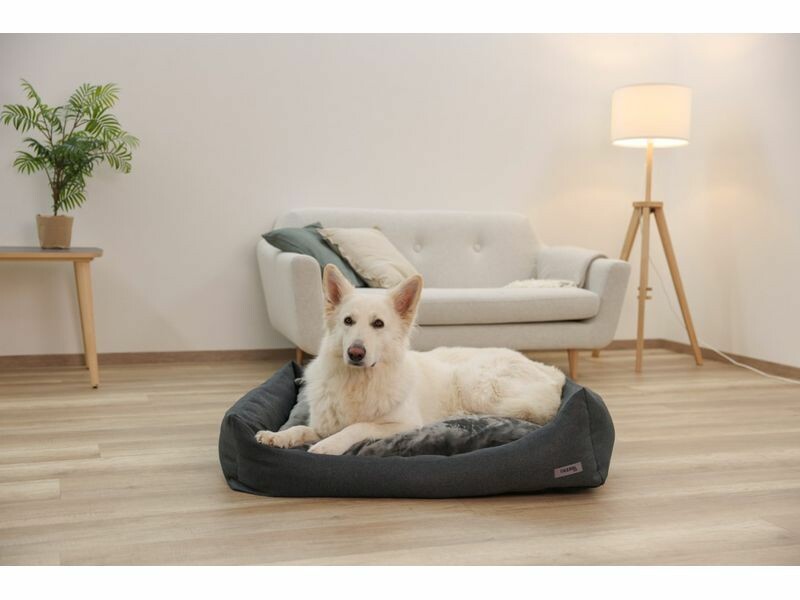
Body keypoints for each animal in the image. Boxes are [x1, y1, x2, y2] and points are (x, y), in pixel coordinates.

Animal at [255, 264, 565, 455]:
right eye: (348, 321)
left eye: (378, 324)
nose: (355, 353)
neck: (358, 382)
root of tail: (554, 373)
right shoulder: (322, 424)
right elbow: (299, 427)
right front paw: (277, 436)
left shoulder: (403, 425)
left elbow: (359, 426)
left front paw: (329, 445)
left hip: (476, 385)